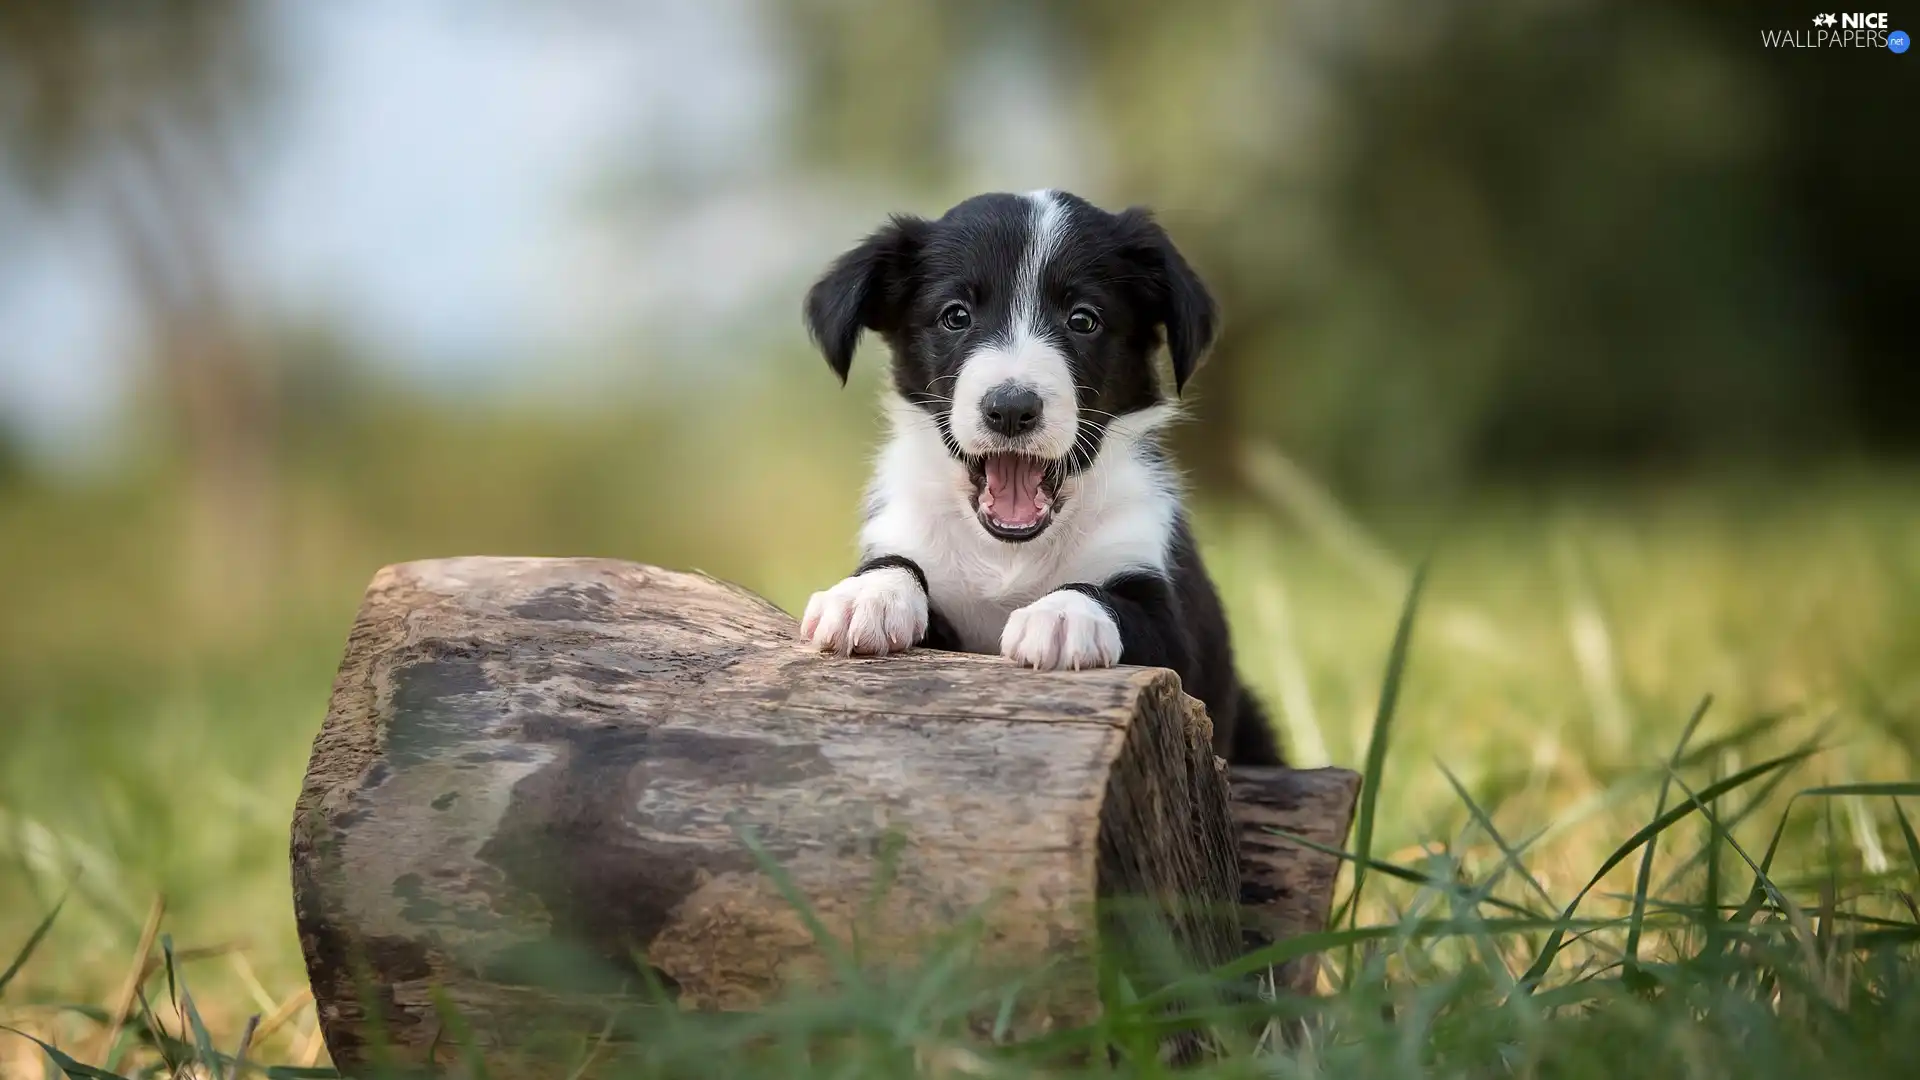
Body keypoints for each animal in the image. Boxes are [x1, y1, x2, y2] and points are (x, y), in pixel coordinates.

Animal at [798, 191, 1290, 764]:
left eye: (1083, 320)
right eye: (955, 316)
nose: (1011, 409)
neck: (1009, 554)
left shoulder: (1178, 640)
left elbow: (1116, 601)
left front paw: (1061, 613)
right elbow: (898, 564)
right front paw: (867, 596)